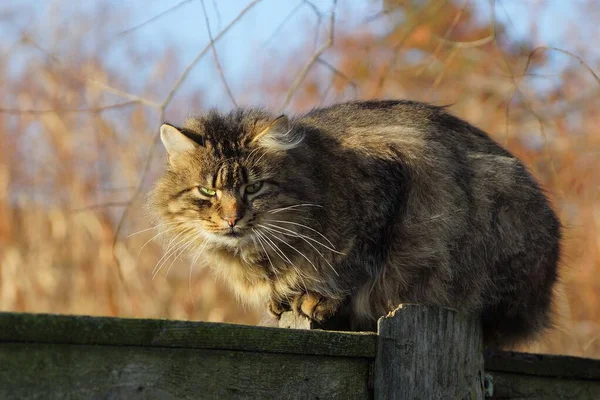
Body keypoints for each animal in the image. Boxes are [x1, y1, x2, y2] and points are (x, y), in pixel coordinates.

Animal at [148, 101, 560, 350]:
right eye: (207, 191)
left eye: (254, 188)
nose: (232, 218)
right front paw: (280, 300)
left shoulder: (388, 188)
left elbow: (353, 265)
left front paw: (320, 299)